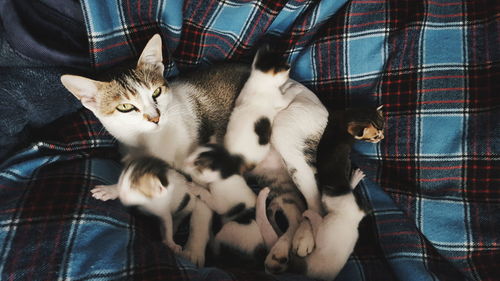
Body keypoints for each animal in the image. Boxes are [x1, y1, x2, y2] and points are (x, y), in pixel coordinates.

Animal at [60, 34, 328, 266]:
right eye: (126, 107)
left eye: (156, 92)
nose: (155, 117)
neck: (155, 141)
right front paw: (111, 190)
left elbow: (201, 211)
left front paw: (193, 251)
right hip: (274, 176)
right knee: (296, 209)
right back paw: (281, 248)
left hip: (287, 136)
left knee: (314, 201)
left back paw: (304, 237)